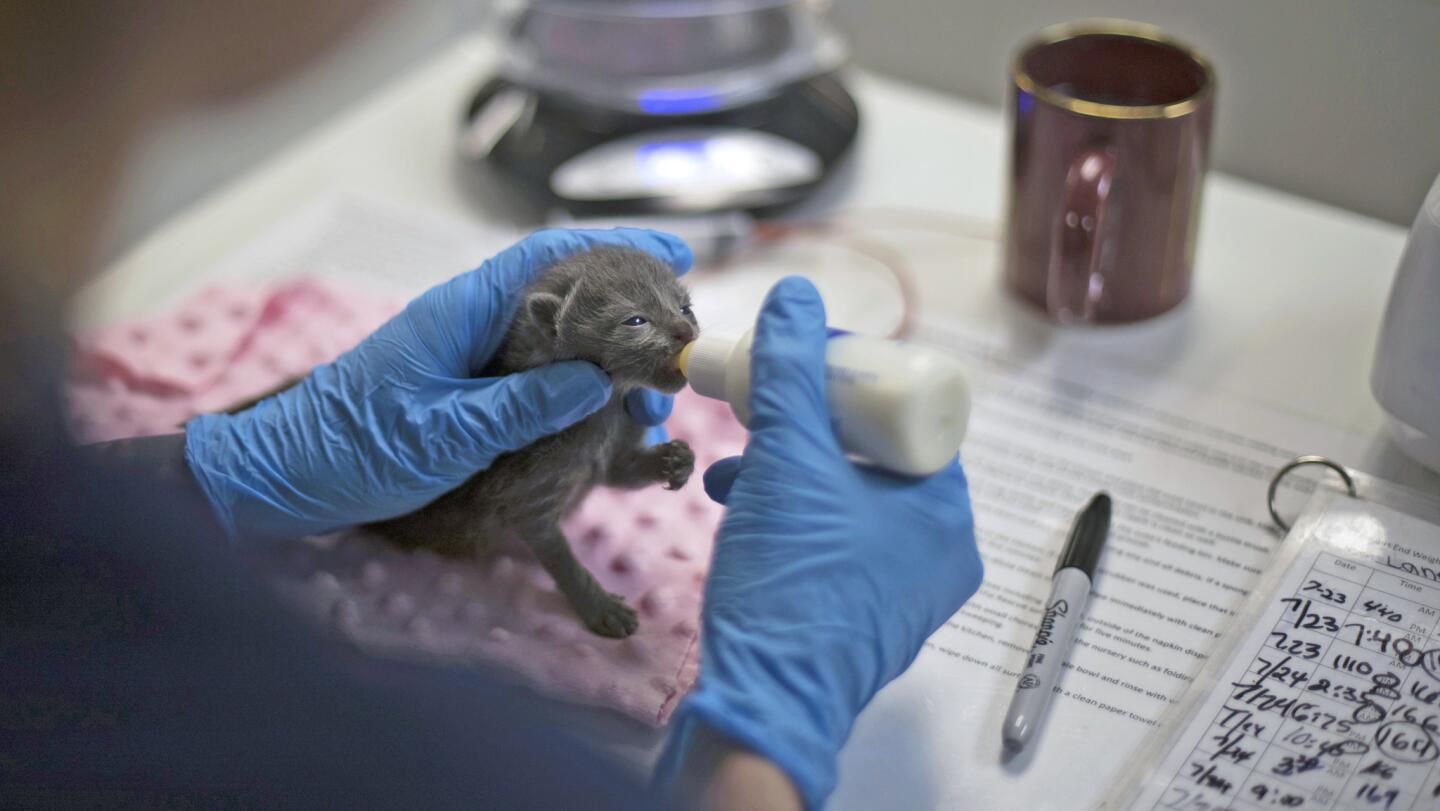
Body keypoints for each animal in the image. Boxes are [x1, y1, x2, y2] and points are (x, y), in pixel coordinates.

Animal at [362, 244, 694, 636]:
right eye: (636, 321)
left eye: (685, 308)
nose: (686, 331)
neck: (608, 408)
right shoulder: (529, 488)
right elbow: (555, 551)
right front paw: (599, 606)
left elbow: (619, 472)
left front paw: (677, 460)